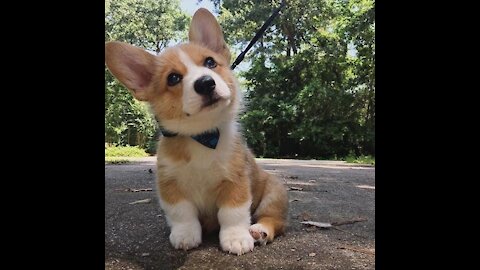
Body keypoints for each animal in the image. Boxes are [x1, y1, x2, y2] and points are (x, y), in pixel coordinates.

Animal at [105, 6, 288, 255]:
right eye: (173, 78)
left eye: (210, 62)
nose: (205, 83)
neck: (202, 136)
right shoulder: (170, 184)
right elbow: (182, 213)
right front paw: (185, 236)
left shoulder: (236, 182)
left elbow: (233, 213)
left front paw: (236, 238)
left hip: (274, 191)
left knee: (275, 220)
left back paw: (260, 230)